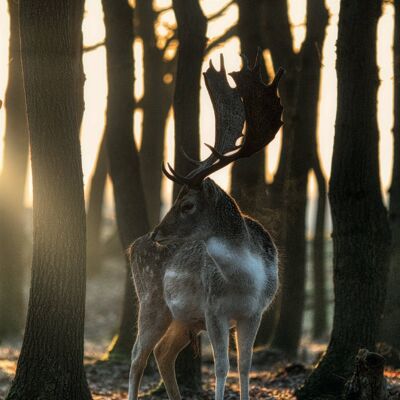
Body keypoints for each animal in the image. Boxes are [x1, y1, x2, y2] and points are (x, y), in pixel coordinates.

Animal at [128, 50, 284, 400]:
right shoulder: (214, 309)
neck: (245, 282)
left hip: (182, 319)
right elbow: (222, 368)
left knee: (163, 353)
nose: (158, 233)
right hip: (151, 300)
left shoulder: (255, 312)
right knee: (137, 356)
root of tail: (132, 245)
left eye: (187, 204)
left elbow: (244, 367)